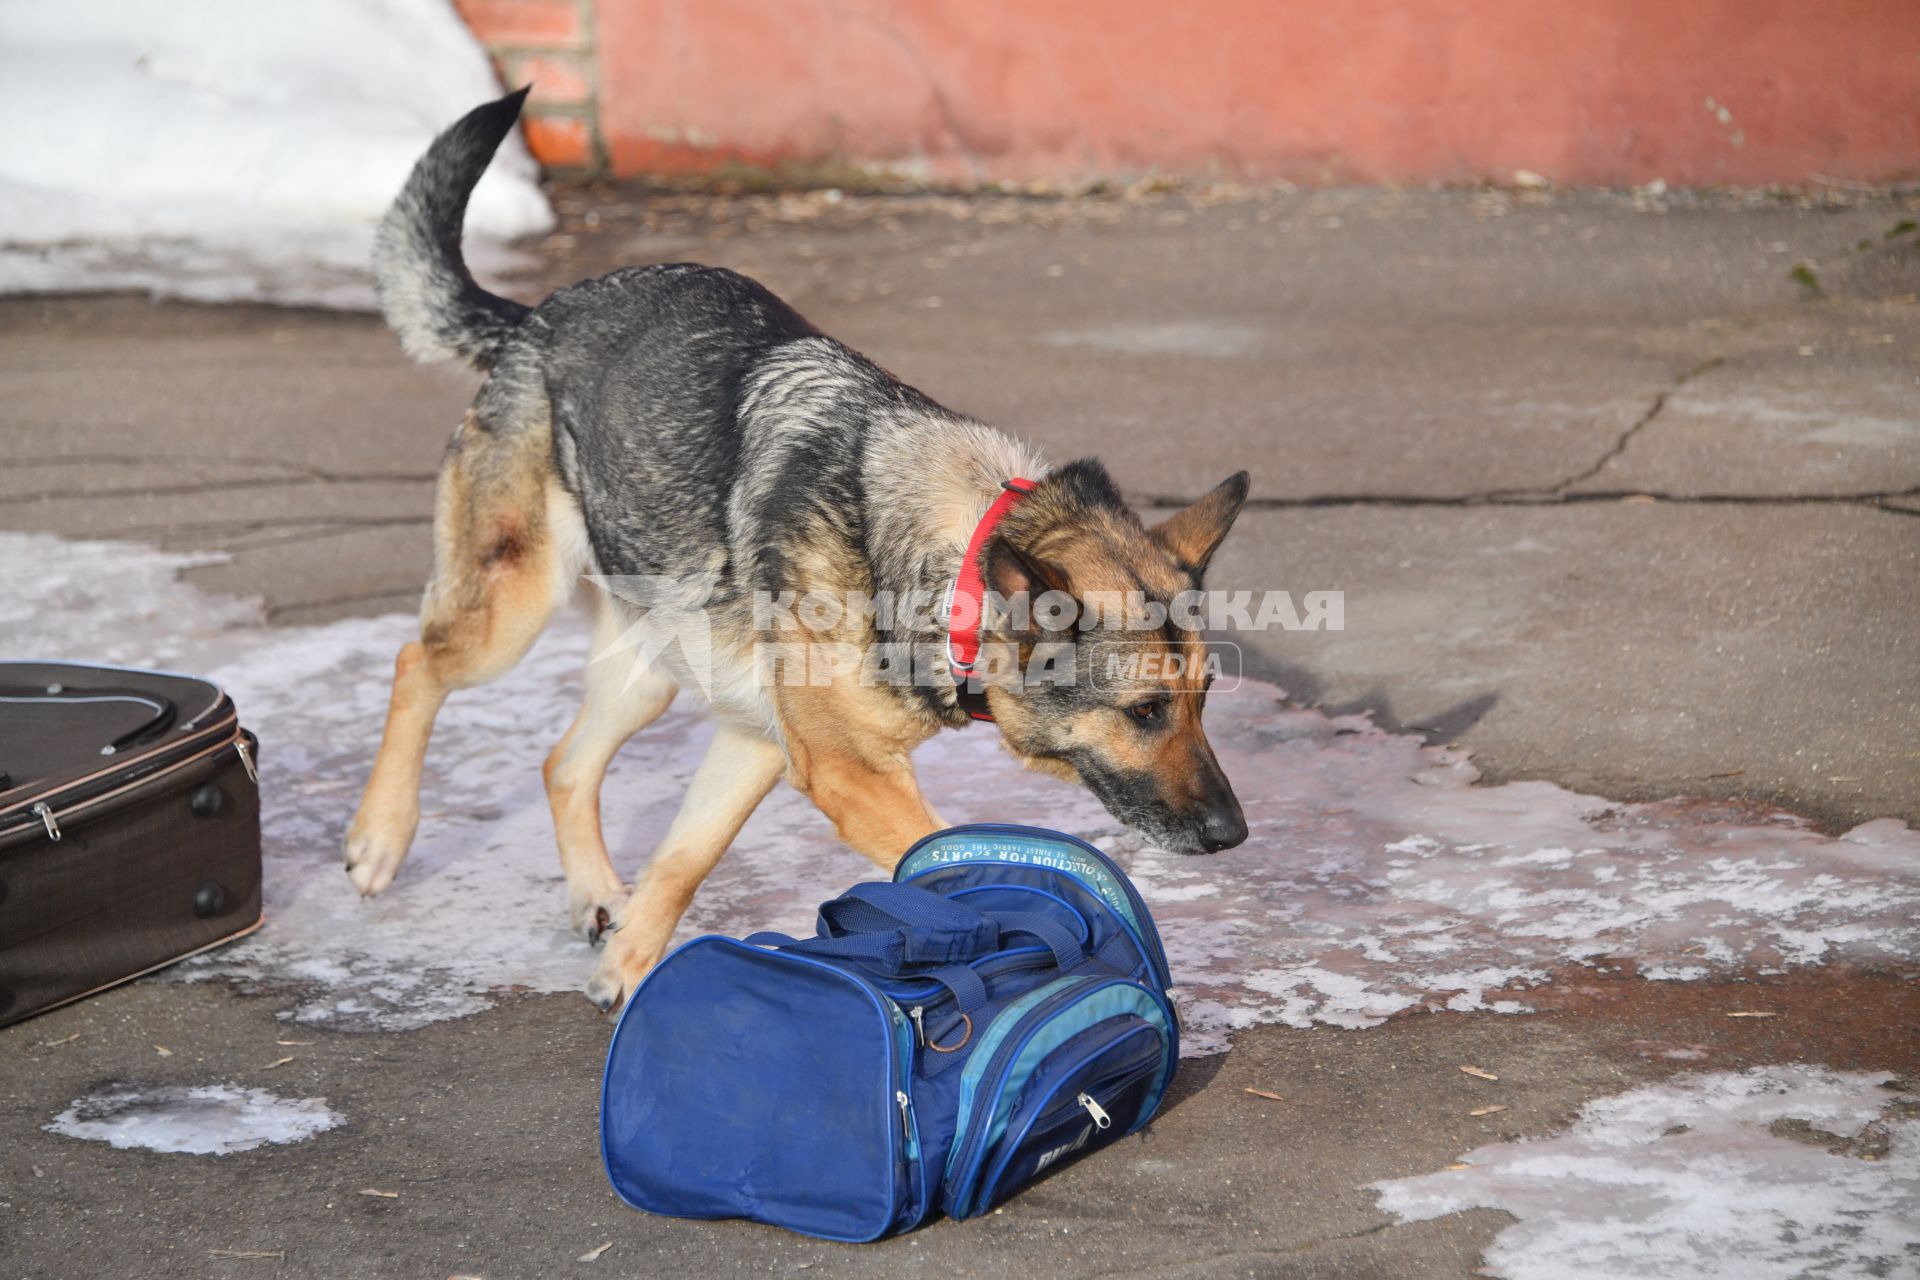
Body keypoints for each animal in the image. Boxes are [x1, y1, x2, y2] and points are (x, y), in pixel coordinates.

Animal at [349, 92, 1244, 1013]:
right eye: (1145, 712)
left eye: (1204, 699)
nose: (1234, 834)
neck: (947, 561)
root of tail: (536, 317)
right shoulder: (846, 773)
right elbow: (946, 851)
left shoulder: (758, 743)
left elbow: (685, 857)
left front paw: (630, 967)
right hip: (511, 611)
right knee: (417, 665)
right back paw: (380, 838)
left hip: (650, 671)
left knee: (564, 764)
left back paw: (595, 891)